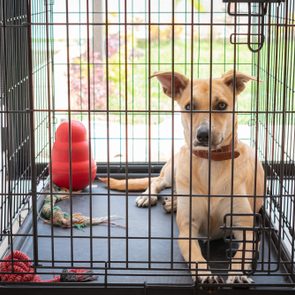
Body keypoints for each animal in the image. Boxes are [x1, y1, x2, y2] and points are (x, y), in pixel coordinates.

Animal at [100, 70, 264, 286]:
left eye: (221, 105)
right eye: (189, 107)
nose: (203, 134)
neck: (210, 163)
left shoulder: (246, 229)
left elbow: (241, 254)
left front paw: (237, 274)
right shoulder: (187, 229)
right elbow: (194, 255)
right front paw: (205, 274)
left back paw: (173, 203)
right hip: (175, 167)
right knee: (158, 181)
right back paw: (151, 196)